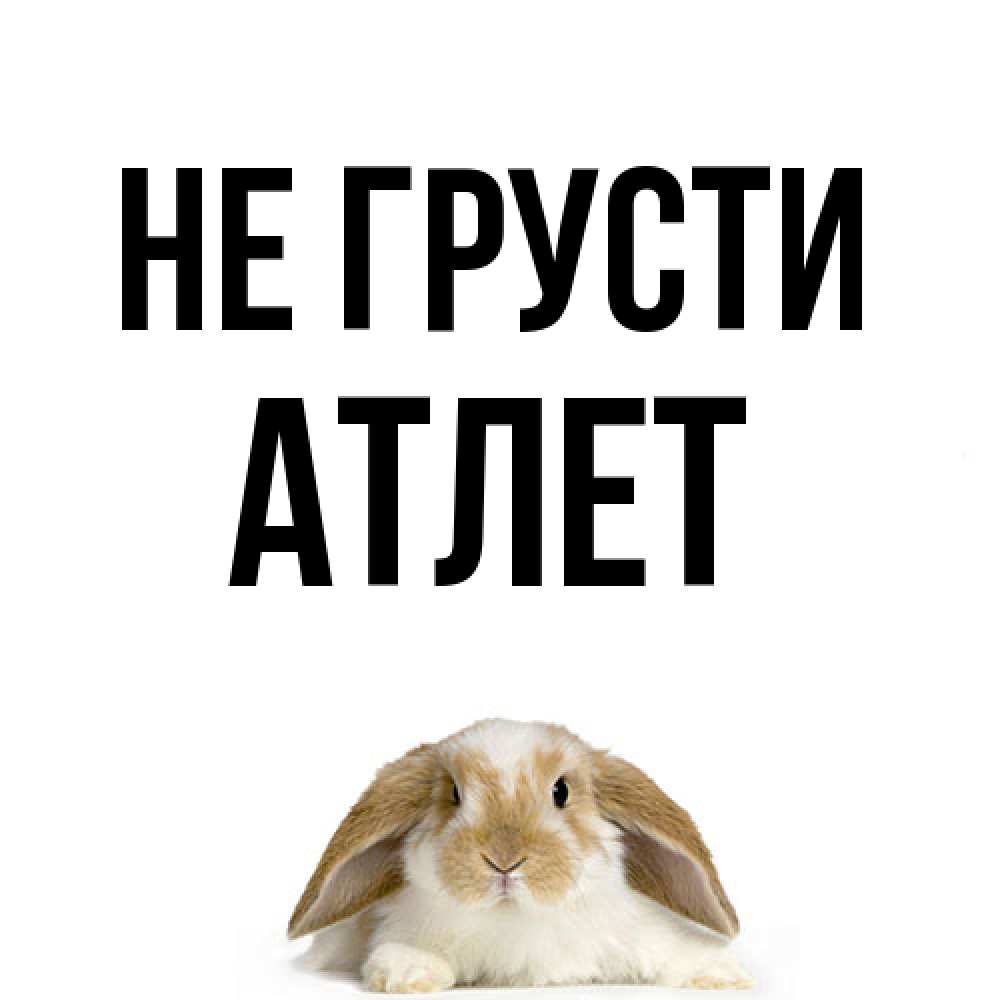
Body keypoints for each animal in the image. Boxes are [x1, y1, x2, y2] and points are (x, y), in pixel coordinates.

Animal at [288, 719, 751, 991]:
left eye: (561, 790)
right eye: (454, 794)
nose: (504, 860)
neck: (516, 918)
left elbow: (673, 950)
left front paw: (723, 973)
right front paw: (409, 972)